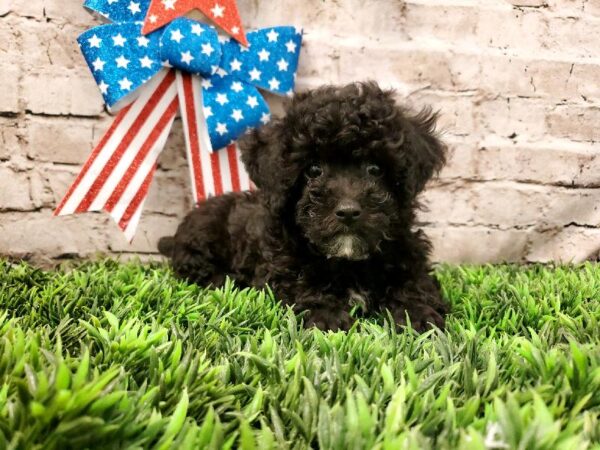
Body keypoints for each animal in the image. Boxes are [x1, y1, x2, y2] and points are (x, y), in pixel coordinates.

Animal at [159, 81, 450, 330]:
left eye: (376, 169)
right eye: (313, 170)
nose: (348, 212)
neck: (347, 261)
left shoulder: (407, 254)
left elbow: (416, 283)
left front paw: (418, 316)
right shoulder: (281, 265)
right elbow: (299, 285)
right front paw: (328, 318)